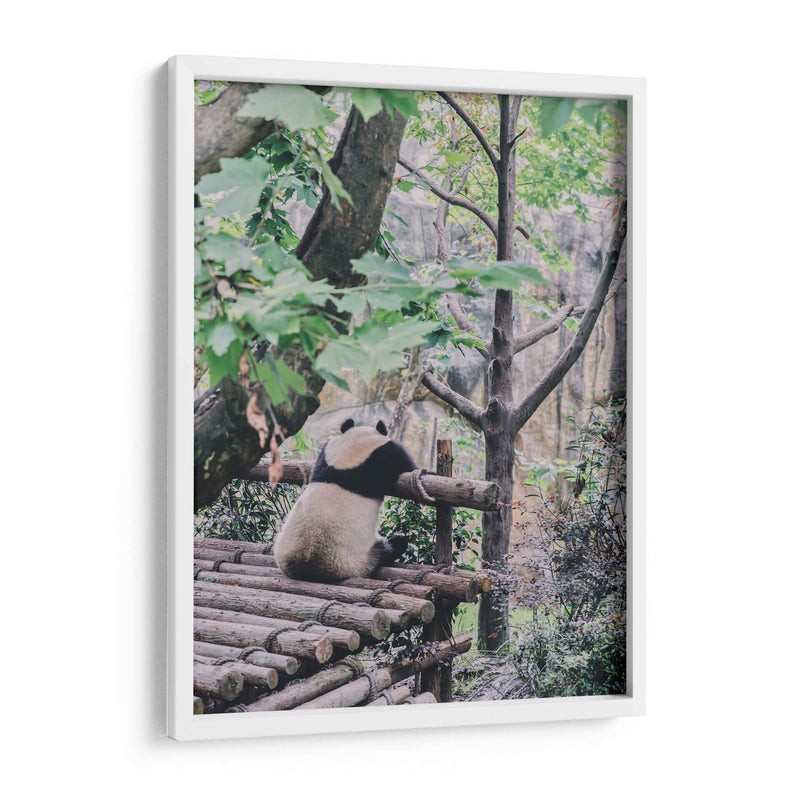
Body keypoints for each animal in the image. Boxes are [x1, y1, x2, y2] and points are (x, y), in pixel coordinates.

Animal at [273, 419, 418, 583]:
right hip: (354, 560)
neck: (349, 457)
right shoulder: (386, 454)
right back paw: (395, 545)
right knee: (388, 549)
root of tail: (305, 566)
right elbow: (407, 464)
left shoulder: (326, 454)